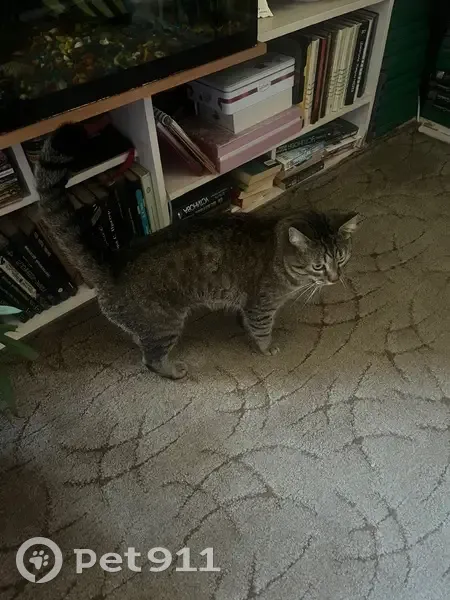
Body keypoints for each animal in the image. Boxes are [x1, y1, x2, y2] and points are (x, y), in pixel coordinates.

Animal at [36, 123, 359, 379]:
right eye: (319, 266)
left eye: (341, 258)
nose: (334, 278)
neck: (279, 256)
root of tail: (110, 265)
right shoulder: (261, 306)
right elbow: (262, 330)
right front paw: (267, 347)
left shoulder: (247, 304)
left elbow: (244, 319)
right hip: (166, 323)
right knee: (151, 360)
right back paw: (173, 371)